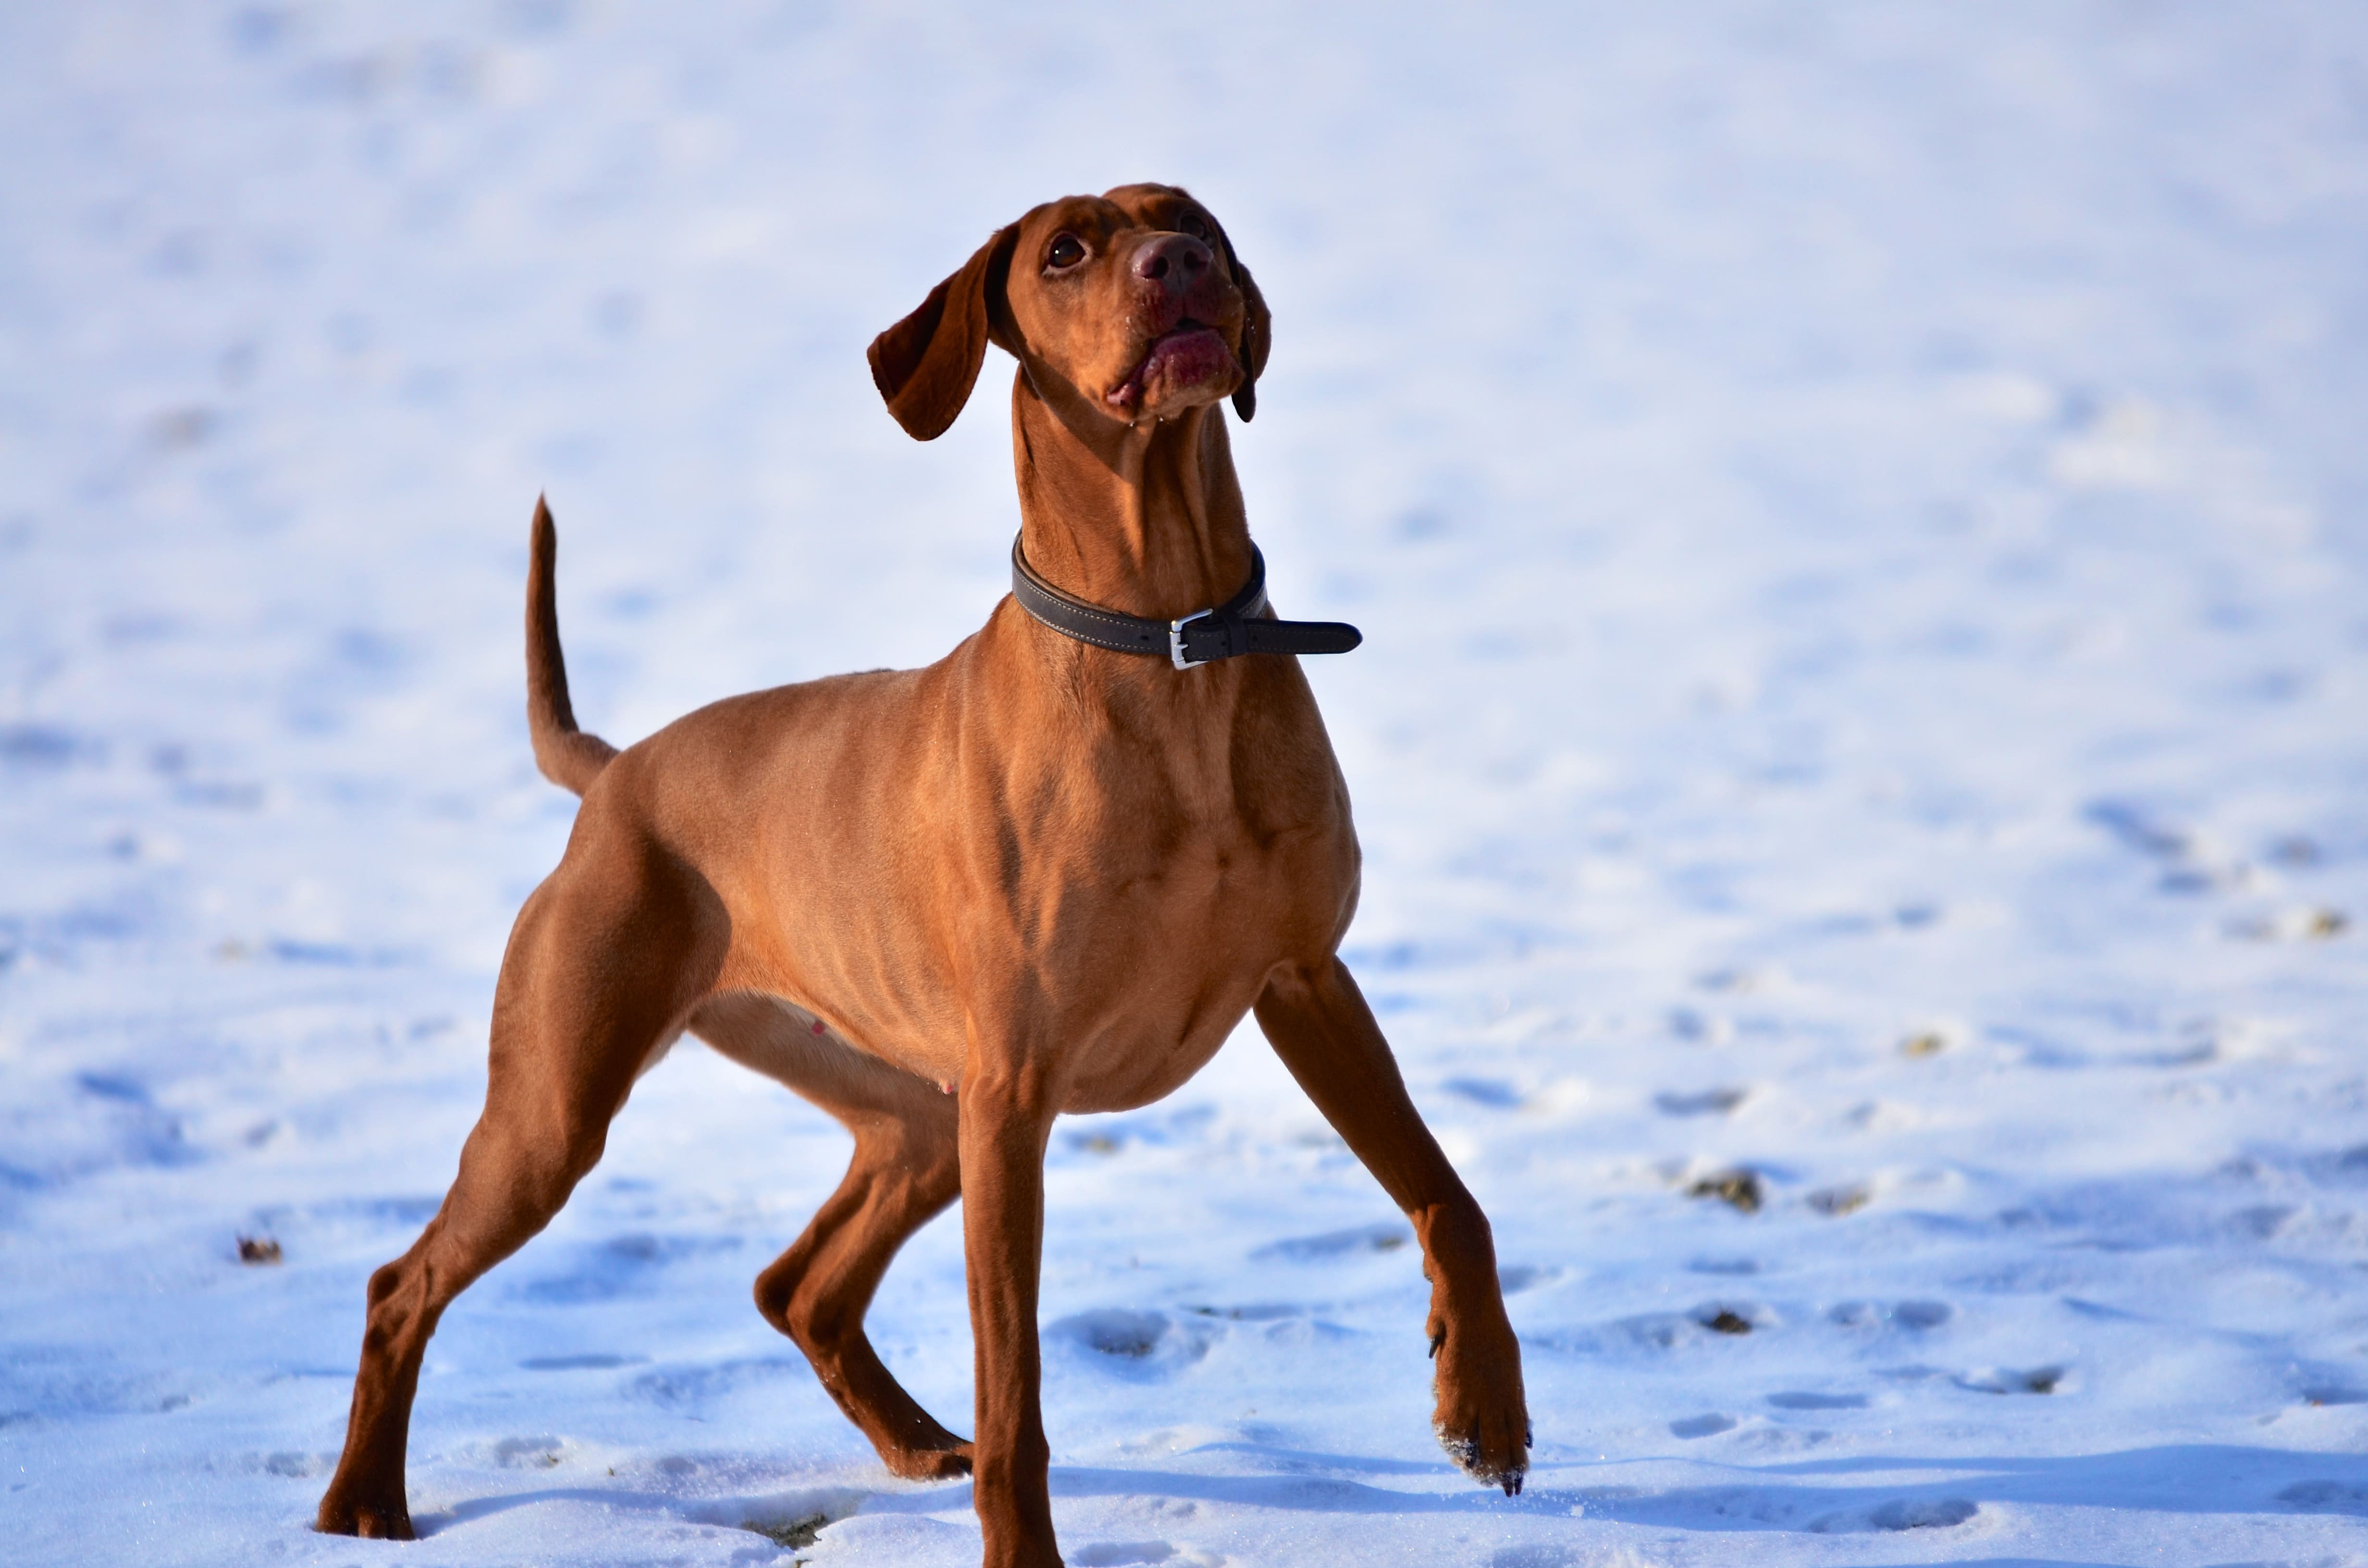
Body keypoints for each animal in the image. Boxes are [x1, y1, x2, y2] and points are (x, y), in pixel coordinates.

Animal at [315, 187, 1525, 1568]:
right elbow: (1018, 1399)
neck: (1169, 645)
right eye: (1066, 251)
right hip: (563, 1111)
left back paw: (908, 1442)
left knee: (798, 1287)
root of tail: (618, 774)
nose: (1180, 267)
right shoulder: (1015, 1096)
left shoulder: (1306, 980)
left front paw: (1484, 1411)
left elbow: (1448, 1198)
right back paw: (361, 1502)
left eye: (1194, 223)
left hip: (914, 1117)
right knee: (401, 1283)